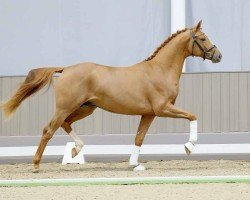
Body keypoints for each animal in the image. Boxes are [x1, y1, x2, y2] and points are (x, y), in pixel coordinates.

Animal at [0, 20, 222, 172]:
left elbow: (139, 137)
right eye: (203, 38)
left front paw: (134, 165)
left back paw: (76, 150)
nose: (218, 55)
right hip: (66, 107)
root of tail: (65, 69)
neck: (160, 69)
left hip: (85, 108)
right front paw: (189, 147)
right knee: (48, 130)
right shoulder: (162, 108)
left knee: (65, 124)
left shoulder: (149, 113)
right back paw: (36, 165)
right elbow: (192, 116)